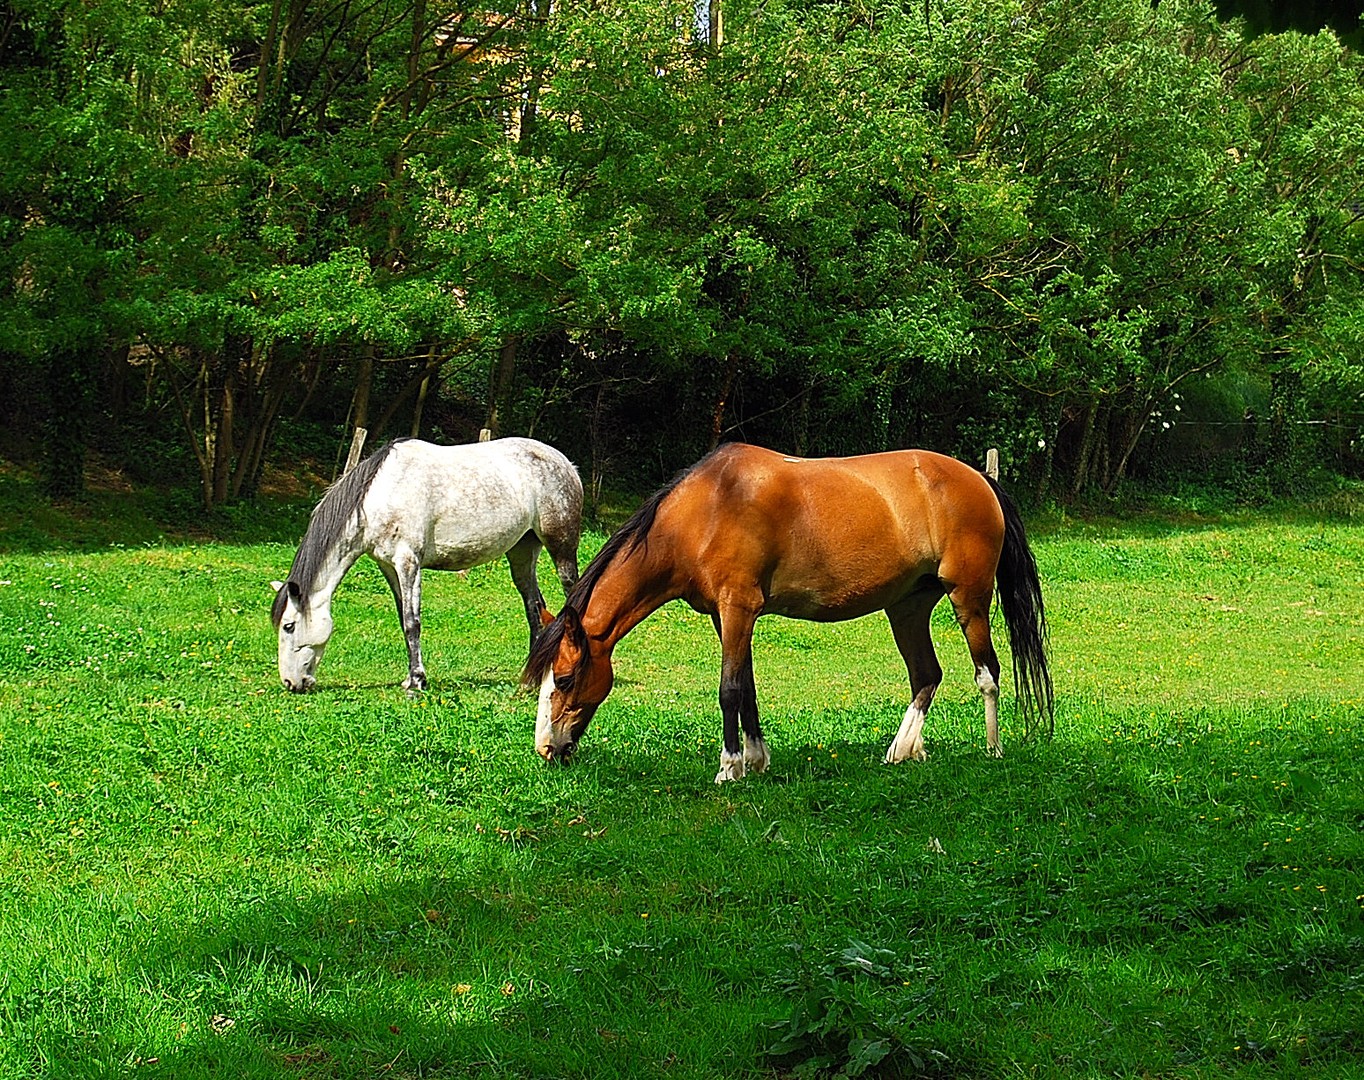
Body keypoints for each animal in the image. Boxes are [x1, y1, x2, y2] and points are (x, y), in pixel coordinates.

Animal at [271, 436, 581, 692]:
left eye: (288, 626)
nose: (290, 683)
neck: (379, 496)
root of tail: (566, 463)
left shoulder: (408, 562)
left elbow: (412, 622)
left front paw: (416, 681)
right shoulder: (388, 566)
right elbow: (402, 618)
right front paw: (412, 677)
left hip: (561, 547)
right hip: (522, 551)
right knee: (534, 606)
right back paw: (531, 679)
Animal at [521, 441, 1053, 780]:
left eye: (563, 679)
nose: (545, 749)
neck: (705, 511)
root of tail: (980, 478)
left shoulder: (739, 607)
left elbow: (730, 690)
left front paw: (730, 768)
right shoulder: (726, 616)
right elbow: (748, 686)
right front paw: (756, 758)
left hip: (970, 598)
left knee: (988, 673)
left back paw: (992, 749)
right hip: (907, 608)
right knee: (926, 675)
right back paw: (902, 750)